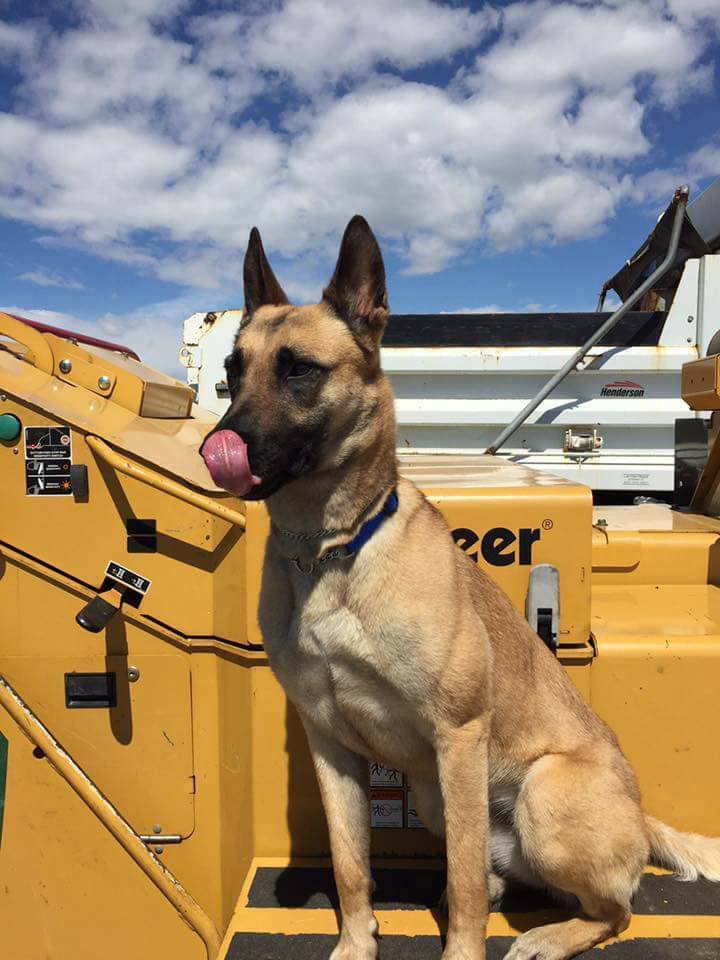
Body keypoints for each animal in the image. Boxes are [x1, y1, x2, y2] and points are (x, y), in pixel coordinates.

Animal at [198, 219, 720, 960]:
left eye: (300, 370)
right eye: (232, 372)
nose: (217, 445)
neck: (333, 551)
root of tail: (641, 816)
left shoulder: (460, 735)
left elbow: (468, 884)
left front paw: (462, 949)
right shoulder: (330, 745)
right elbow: (351, 865)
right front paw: (356, 945)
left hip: (535, 793)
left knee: (610, 910)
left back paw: (549, 936)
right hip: (434, 794)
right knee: (503, 876)